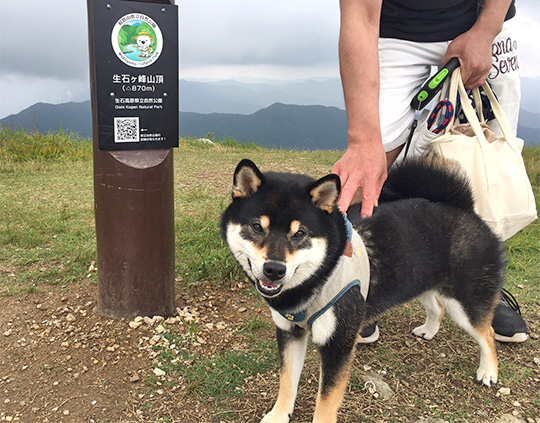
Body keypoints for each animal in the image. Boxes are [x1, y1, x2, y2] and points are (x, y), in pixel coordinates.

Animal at [220, 157, 506, 423]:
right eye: (257, 227)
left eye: (300, 233)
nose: (274, 269)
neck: (321, 274)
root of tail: (464, 208)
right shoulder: (290, 331)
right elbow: (287, 381)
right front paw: (279, 415)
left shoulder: (338, 345)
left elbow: (326, 401)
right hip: (420, 281)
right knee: (438, 306)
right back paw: (429, 330)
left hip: (467, 303)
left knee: (487, 333)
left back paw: (488, 372)